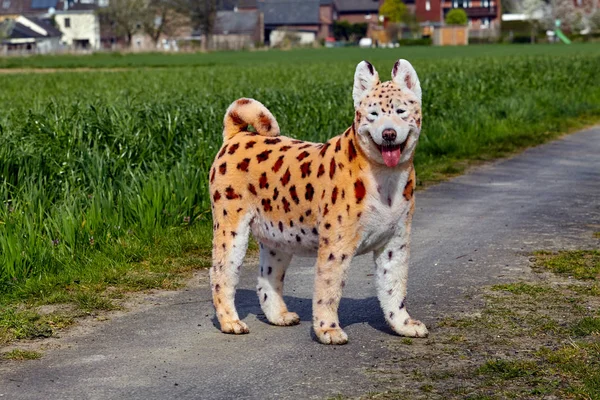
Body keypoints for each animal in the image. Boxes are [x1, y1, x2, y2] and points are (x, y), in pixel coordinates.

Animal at [210, 58, 426, 344]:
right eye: (373, 114)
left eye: (401, 111)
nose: (389, 133)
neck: (385, 178)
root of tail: (238, 136)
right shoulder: (336, 245)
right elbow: (328, 290)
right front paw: (328, 330)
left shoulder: (395, 243)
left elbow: (394, 288)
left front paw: (403, 325)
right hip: (230, 229)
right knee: (222, 273)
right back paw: (231, 322)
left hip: (277, 239)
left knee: (267, 278)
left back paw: (279, 315)